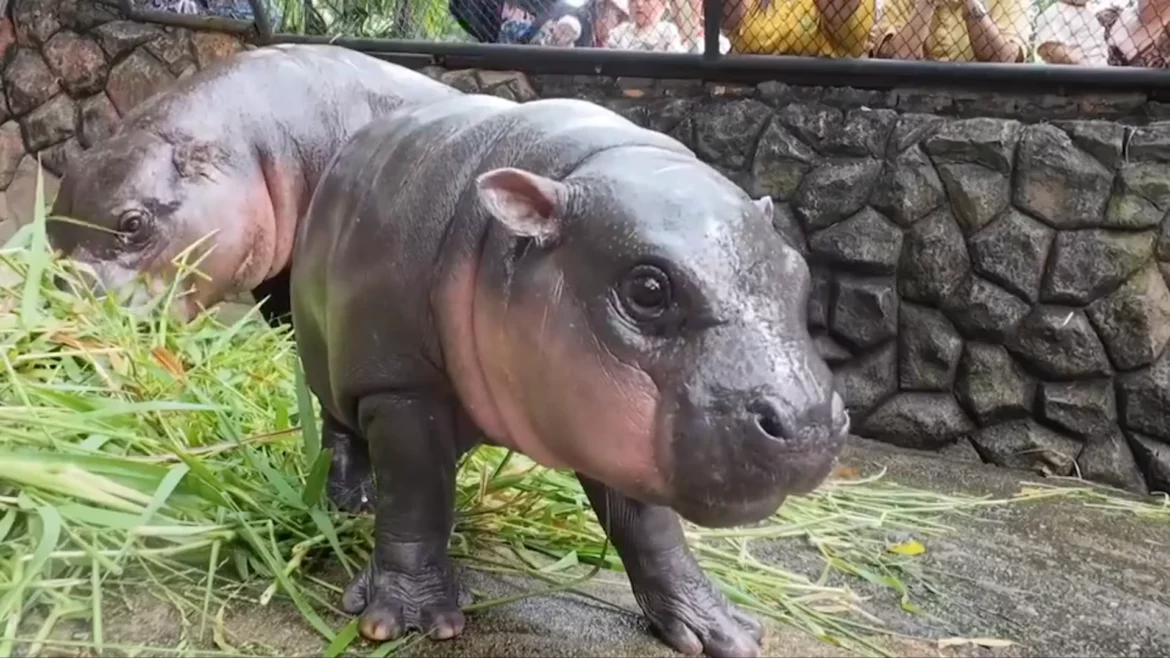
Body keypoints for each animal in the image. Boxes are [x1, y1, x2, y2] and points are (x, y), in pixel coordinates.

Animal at [289, 92, 850, 658]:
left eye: (800, 274)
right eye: (648, 288)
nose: (810, 423)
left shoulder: (613, 428)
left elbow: (651, 530)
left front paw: (725, 631)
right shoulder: (403, 387)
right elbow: (413, 497)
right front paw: (406, 620)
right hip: (330, 360)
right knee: (342, 430)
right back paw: (353, 504)